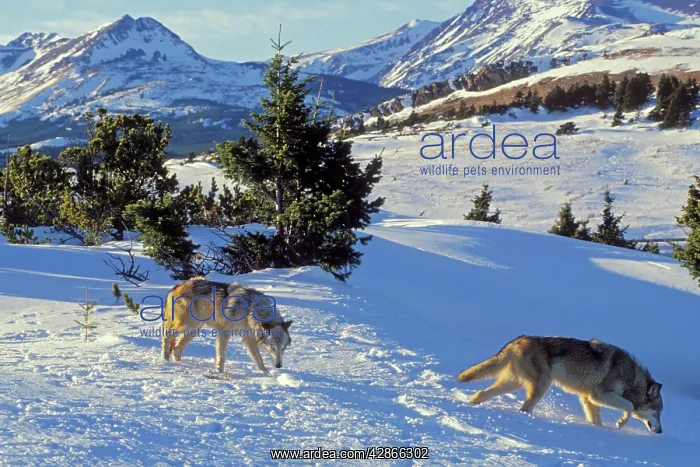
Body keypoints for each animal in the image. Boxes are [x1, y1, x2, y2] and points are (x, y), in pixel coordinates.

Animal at [162, 276, 292, 374]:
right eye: (272, 347)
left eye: (283, 348)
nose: (279, 366)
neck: (250, 309)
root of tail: (177, 286)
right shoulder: (224, 333)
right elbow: (222, 355)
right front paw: (219, 372)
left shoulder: (248, 339)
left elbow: (258, 359)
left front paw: (267, 374)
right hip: (189, 325)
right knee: (167, 335)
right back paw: (165, 359)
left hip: (194, 329)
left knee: (177, 348)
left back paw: (179, 363)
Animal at [456, 335, 663, 434]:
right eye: (657, 413)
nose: (661, 431)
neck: (632, 379)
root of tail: (518, 340)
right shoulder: (599, 394)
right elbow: (629, 406)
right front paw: (620, 423)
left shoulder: (587, 398)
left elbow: (596, 420)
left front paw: (599, 430)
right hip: (542, 386)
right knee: (524, 408)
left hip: (513, 384)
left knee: (481, 394)